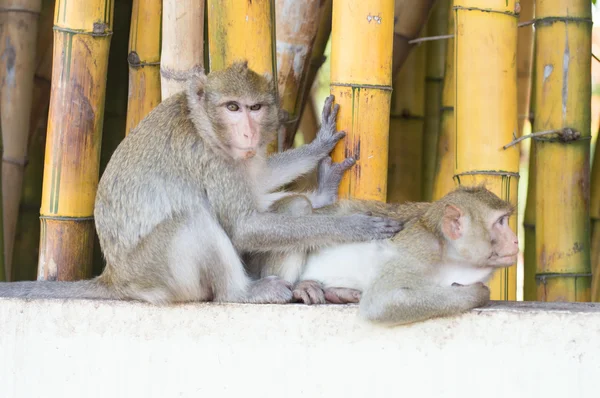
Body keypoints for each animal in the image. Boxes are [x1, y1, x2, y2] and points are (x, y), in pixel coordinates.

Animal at [1, 61, 404, 302]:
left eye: (255, 108)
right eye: (232, 107)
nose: (248, 132)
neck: (202, 123)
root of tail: (113, 277)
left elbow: (257, 186)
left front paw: (321, 158)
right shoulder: (210, 158)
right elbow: (243, 226)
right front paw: (354, 227)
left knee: (294, 207)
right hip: (156, 277)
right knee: (192, 219)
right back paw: (243, 293)